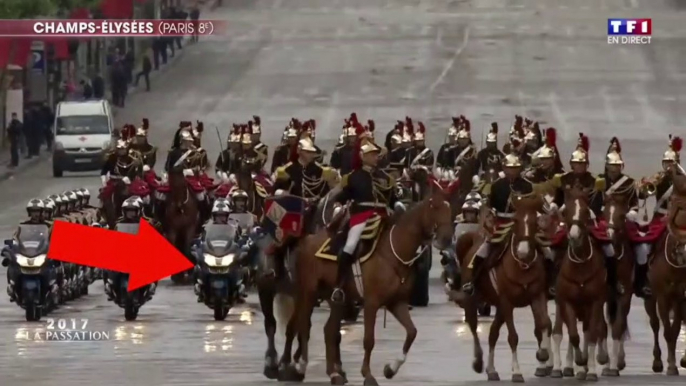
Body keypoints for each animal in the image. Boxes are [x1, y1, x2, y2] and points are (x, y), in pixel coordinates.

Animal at [282, 185, 454, 384]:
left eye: (449, 209)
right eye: (434, 207)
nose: (446, 239)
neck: (393, 251)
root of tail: (307, 239)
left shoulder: (397, 303)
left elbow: (412, 332)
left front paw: (391, 369)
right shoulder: (371, 303)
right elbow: (369, 340)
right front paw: (368, 375)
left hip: (336, 299)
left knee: (329, 330)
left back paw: (333, 373)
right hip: (308, 292)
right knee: (303, 326)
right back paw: (301, 366)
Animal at [456, 195, 552, 382]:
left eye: (535, 221)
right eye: (515, 221)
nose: (523, 252)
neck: (521, 266)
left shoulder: (537, 296)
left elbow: (543, 324)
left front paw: (543, 354)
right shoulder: (507, 302)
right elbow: (513, 337)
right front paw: (517, 372)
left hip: (499, 307)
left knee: (493, 333)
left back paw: (491, 370)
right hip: (473, 300)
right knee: (473, 327)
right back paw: (478, 362)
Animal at [552, 188, 608, 382]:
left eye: (585, 211)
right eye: (566, 212)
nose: (574, 235)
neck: (581, 266)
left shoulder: (596, 302)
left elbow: (592, 335)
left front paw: (590, 369)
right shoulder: (567, 302)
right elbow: (574, 336)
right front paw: (579, 361)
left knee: (593, 330)